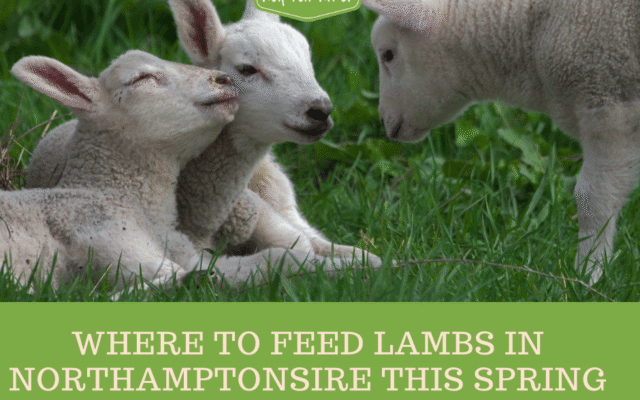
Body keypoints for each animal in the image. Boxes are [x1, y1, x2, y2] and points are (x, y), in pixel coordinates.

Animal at [5, 50, 353, 291]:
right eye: (141, 78)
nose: (222, 79)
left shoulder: (186, 251)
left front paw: (354, 263)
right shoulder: (109, 238)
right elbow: (276, 258)